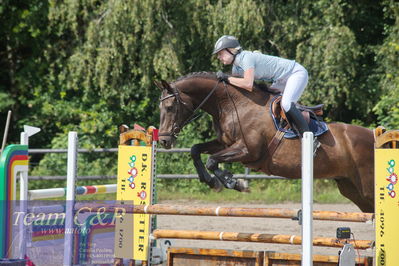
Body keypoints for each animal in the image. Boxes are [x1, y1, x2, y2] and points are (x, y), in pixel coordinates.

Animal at [155, 71, 376, 212]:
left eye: (170, 107)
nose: (164, 140)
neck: (233, 105)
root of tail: (375, 135)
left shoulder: (249, 151)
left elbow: (212, 160)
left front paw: (233, 182)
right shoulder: (225, 143)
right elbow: (196, 150)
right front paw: (213, 182)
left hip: (366, 187)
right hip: (351, 188)